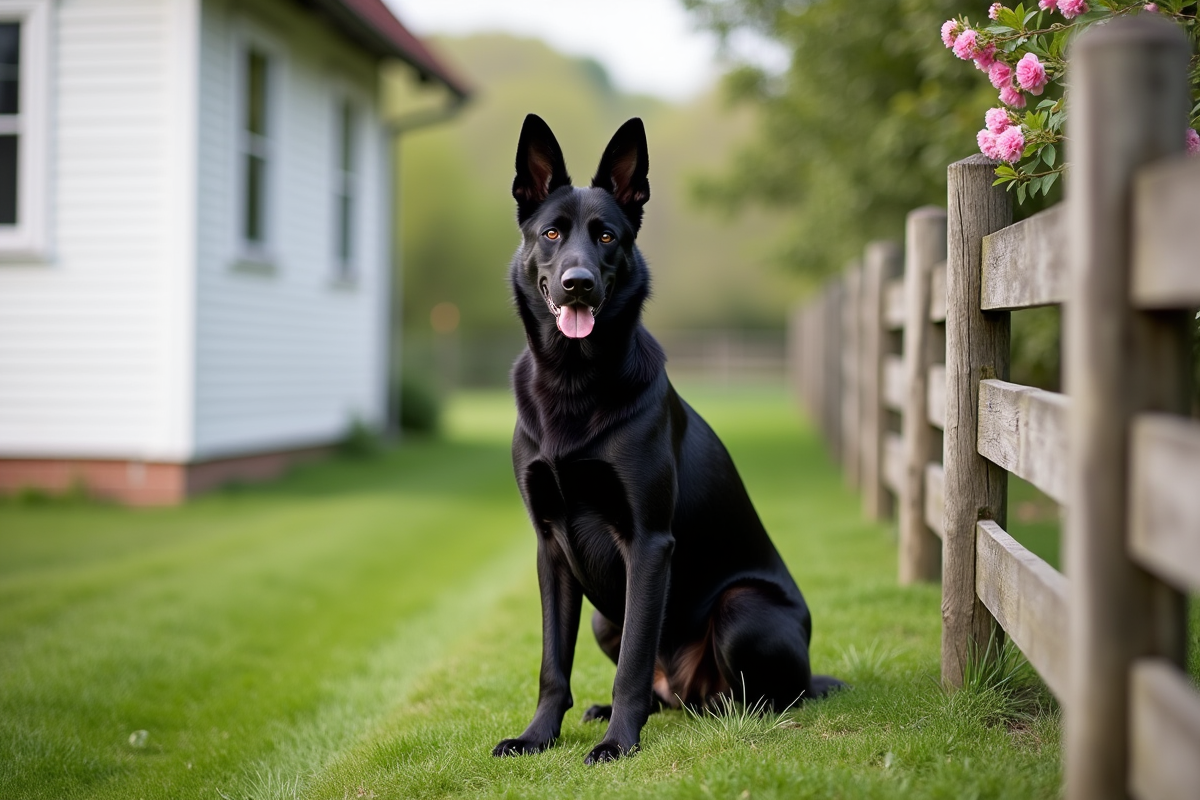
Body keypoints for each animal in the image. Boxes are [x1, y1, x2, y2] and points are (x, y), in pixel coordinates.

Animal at [492, 110, 840, 762]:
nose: (577, 284)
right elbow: (554, 664)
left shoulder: (649, 544)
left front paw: (617, 744)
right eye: (551, 234)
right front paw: (537, 737)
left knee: (762, 694)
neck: (573, 383)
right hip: (603, 614)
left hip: (742, 610)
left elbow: (632, 663)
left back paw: (718, 710)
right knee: (658, 685)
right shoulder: (550, 549)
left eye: (607, 237)